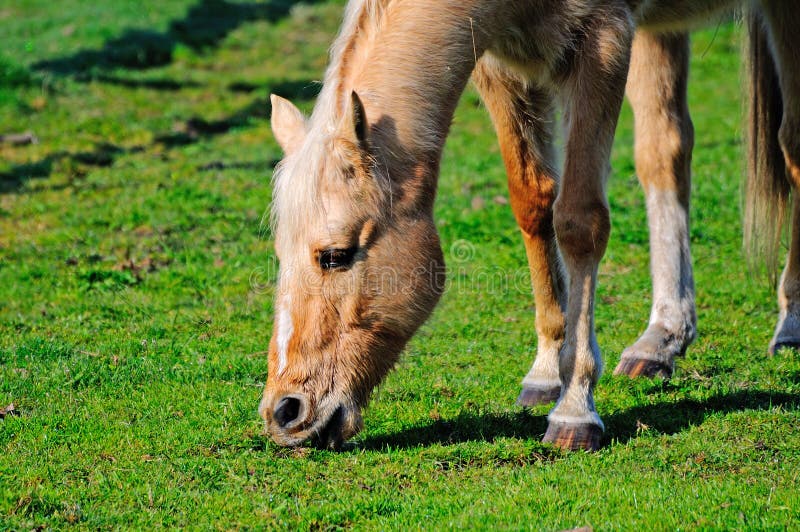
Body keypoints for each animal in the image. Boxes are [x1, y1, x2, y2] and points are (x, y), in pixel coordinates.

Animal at [260, 0, 800, 451]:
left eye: (335, 255)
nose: (284, 413)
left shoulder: (603, 39)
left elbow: (579, 221)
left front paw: (575, 409)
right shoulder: (499, 64)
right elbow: (534, 202)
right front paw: (546, 371)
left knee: (791, 148)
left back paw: (790, 323)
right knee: (665, 151)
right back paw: (661, 338)